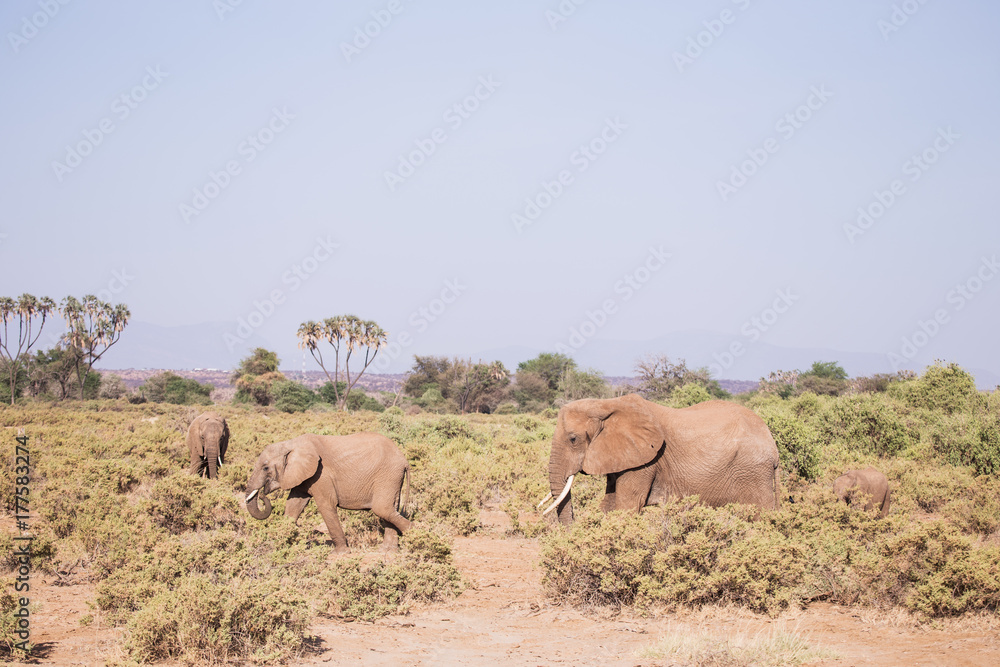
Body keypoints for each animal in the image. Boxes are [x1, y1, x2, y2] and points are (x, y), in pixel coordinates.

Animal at [244, 433, 411, 553]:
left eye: (265, 468)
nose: (262, 494)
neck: (291, 443)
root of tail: (404, 460)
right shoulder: (303, 476)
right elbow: (294, 504)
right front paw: (283, 542)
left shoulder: (321, 474)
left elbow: (326, 505)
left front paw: (340, 553)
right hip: (392, 478)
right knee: (390, 509)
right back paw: (387, 551)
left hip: (388, 475)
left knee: (382, 509)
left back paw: (415, 535)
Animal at [539, 394, 780, 524]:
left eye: (573, 439)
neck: (606, 404)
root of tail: (773, 443)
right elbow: (609, 503)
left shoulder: (646, 461)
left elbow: (627, 506)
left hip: (752, 470)